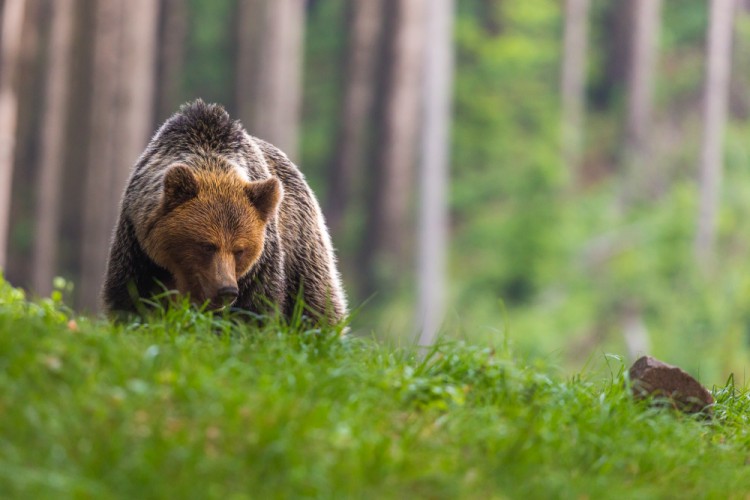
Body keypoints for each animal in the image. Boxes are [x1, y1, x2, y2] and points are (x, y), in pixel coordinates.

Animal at [103, 100, 350, 324]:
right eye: (206, 245)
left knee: (315, 301)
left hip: (300, 243)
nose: (227, 290)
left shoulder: (261, 264)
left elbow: (254, 310)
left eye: (239, 250)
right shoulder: (138, 247)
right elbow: (132, 299)